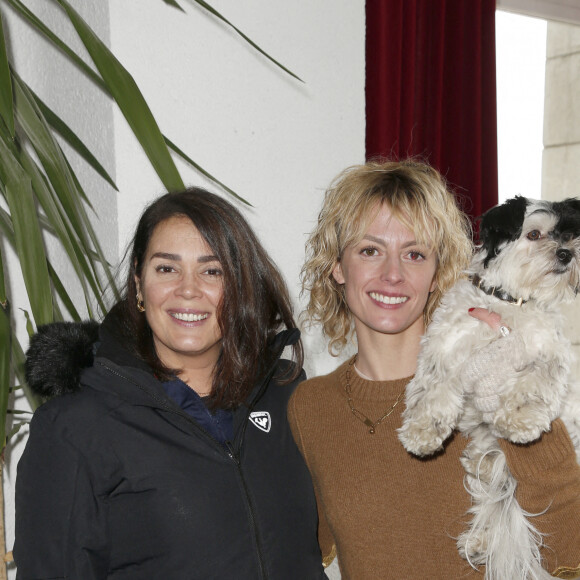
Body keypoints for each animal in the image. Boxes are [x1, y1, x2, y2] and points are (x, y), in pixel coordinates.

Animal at [398, 196, 580, 580]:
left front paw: (520, 421)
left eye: (571, 235)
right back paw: (479, 536)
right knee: (494, 491)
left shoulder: (547, 355)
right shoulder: (444, 348)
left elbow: (532, 384)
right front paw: (422, 433)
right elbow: (431, 392)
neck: (507, 303)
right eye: (535, 233)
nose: (566, 254)